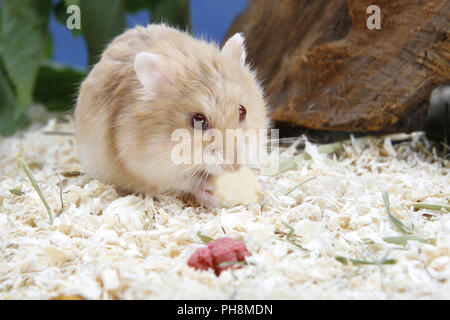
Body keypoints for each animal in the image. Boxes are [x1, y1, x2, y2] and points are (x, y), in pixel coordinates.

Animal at [75, 23, 268, 208]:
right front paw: (209, 193)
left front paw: (261, 183)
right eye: (198, 120)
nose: (235, 166)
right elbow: (186, 181)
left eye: (242, 110)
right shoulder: (149, 167)